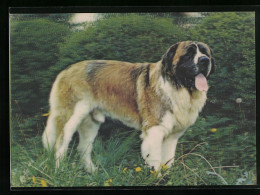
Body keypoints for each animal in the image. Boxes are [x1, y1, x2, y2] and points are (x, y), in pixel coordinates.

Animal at [41, 40, 214, 173]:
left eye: (205, 53)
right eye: (189, 54)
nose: (205, 60)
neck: (177, 87)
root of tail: (66, 70)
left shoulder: (172, 136)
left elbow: (168, 161)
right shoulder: (155, 131)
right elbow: (156, 161)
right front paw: (157, 178)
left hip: (90, 123)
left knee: (83, 148)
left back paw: (93, 172)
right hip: (71, 116)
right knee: (60, 142)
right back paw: (59, 171)